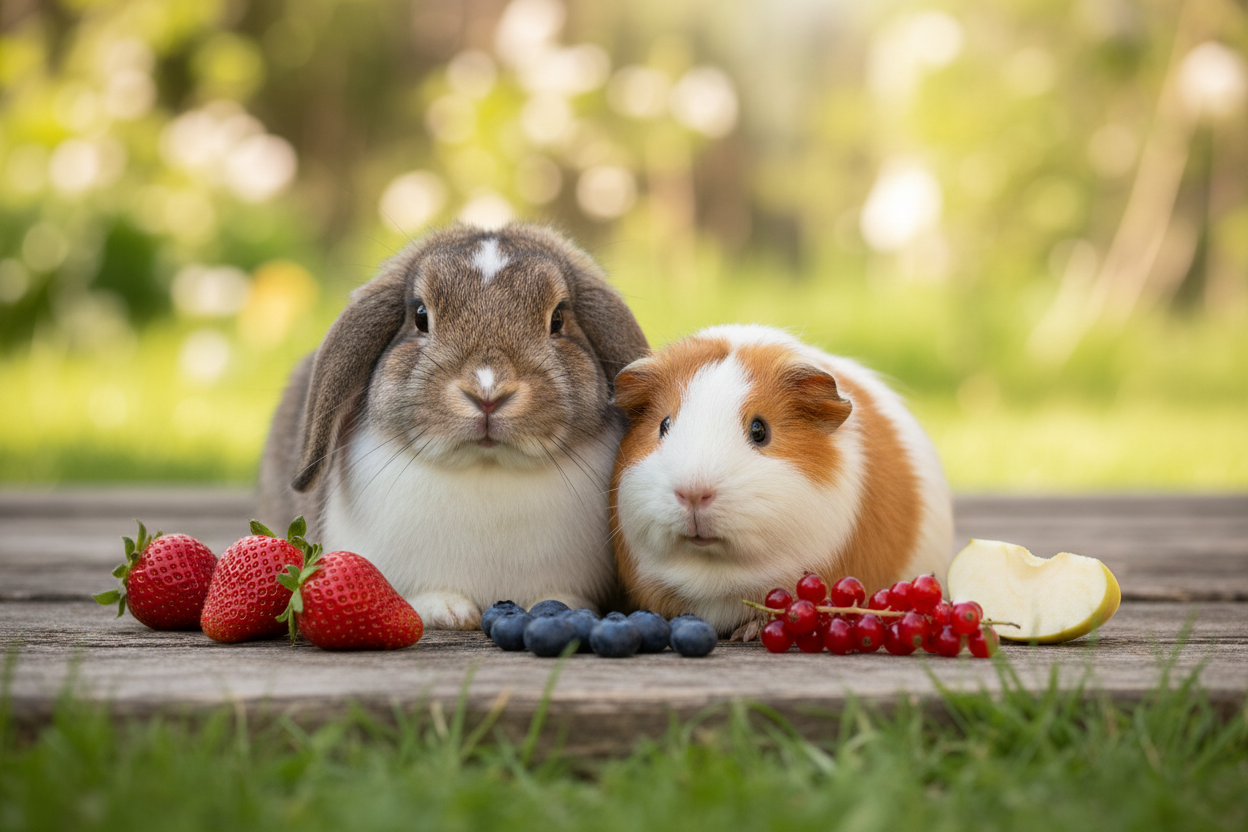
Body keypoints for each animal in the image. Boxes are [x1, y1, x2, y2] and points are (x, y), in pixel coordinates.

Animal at [258, 223, 649, 629]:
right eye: (420, 316)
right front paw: (448, 612)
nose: (488, 392)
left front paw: (559, 605)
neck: (486, 467)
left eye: (557, 320)